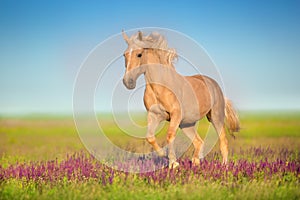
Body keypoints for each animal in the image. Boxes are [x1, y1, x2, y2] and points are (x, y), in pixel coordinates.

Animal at [120, 30, 240, 169]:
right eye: (124, 54)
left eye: (139, 54)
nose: (128, 82)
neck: (160, 87)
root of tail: (215, 84)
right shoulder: (155, 115)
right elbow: (150, 137)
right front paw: (164, 155)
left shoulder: (175, 114)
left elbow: (170, 136)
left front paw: (173, 163)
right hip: (186, 124)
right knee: (199, 142)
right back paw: (196, 162)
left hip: (215, 117)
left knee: (223, 141)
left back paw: (224, 166)